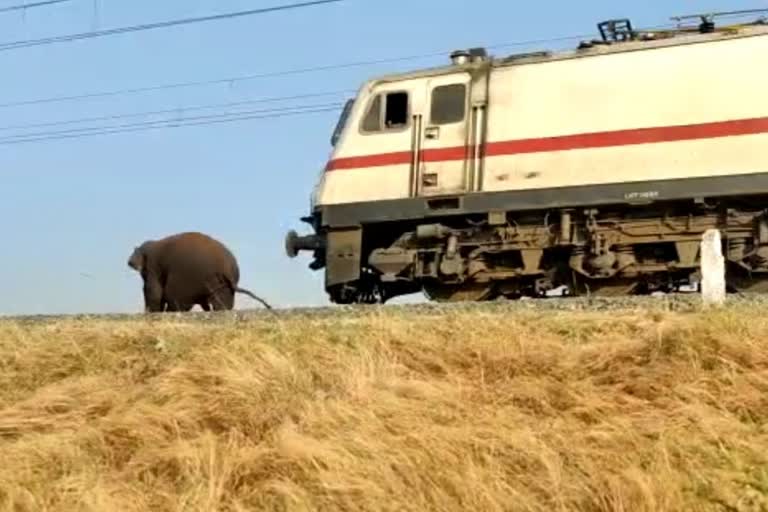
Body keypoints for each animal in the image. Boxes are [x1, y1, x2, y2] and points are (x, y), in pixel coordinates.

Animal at [125, 232, 270, 312]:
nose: (128, 262)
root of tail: (226, 268)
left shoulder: (152, 266)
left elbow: (153, 291)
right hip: (222, 282)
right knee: (221, 303)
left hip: (188, 277)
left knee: (176, 299)